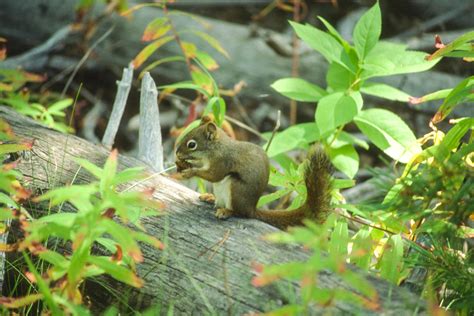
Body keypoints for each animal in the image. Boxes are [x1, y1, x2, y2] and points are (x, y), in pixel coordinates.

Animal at [175, 116, 334, 230]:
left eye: (192, 144)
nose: (177, 153)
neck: (216, 148)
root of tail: (251, 209)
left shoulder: (223, 162)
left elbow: (214, 175)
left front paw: (190, 172)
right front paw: (184, 165)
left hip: (235, 189)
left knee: (240, 213)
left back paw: (226, 212)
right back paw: (210, 197)